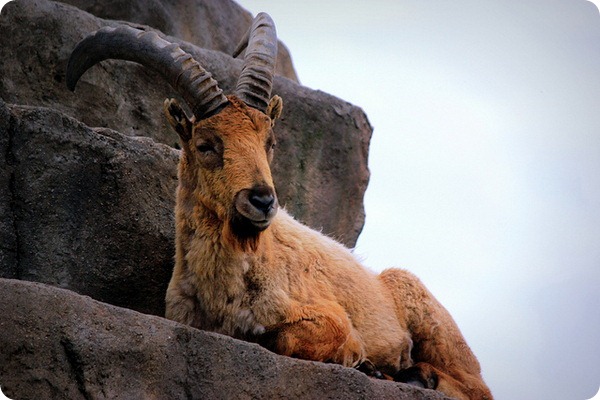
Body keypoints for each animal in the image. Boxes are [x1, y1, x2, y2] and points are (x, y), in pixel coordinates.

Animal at [68, 13, 492, 400]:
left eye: (269, 141)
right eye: (206, 145)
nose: (261, 199)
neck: (232, 284)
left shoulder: (329, 318)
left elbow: (288, 339)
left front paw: (364, 362)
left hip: (432, 321)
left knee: (475, 385)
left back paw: (418, 376)